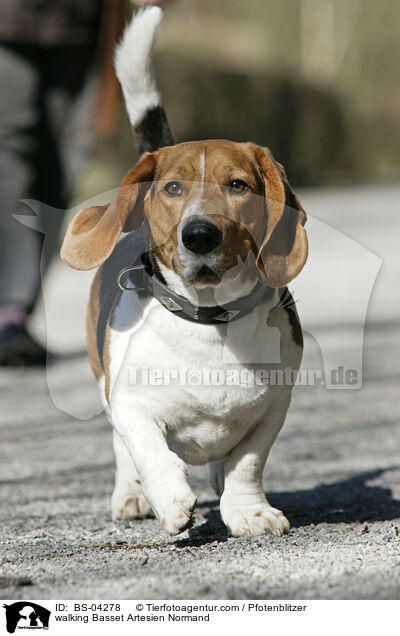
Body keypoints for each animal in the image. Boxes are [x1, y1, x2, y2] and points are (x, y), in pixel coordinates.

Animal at [61, 8, 308, 536]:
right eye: (172, 188)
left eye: (238, 185)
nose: (199, 235)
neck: (209, 322)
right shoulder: (128, 401)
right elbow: (147, 446)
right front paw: (169, 497)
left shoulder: (273, 408)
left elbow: (247, 461)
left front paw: (249, 510)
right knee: (123, 451)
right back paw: (133, 495)